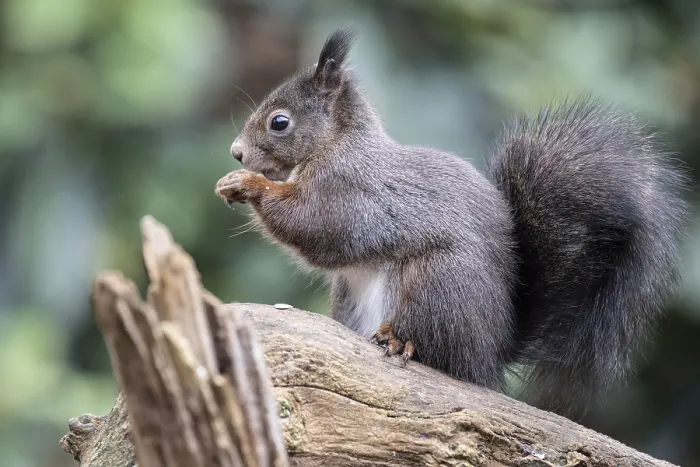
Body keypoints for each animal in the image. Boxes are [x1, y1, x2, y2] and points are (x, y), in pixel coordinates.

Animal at [215, 29, 689, 417]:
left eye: (280, 122)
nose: (236, 152)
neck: (337, 144)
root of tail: (492, 352)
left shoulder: (351, 193)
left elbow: (314, 225)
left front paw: (247, 184)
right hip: (352, 296)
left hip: (437, 284)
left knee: (439, 352)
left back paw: (399, 341)